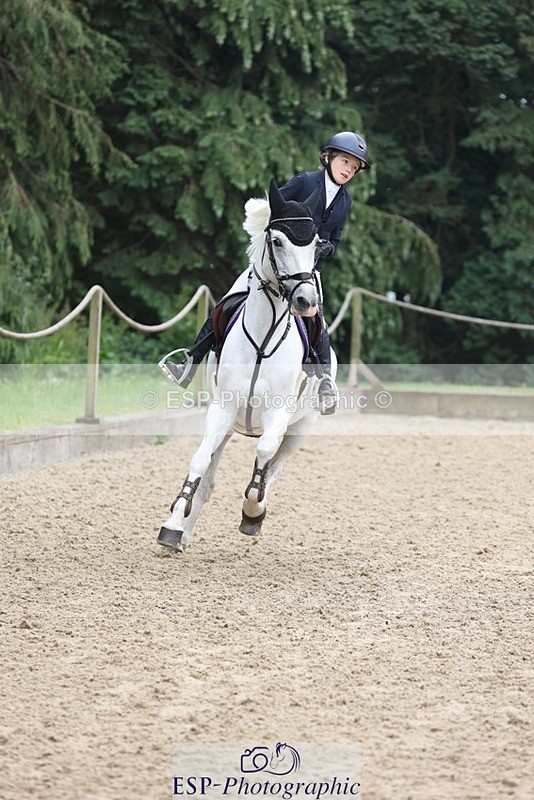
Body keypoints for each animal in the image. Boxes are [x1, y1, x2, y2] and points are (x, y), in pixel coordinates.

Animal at [157, 178, 337, 553]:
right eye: (277, 241)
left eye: (317, 246)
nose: (306, 302)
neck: (263, 337)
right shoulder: (222, 410)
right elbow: (199, 461)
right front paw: (172, 525)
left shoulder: (279, 414)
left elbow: (265, 453)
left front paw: (252, 513)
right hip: (230, 425)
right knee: (211, 480)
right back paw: (183, 533)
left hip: (302, 427)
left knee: (273, 467)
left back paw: (256, 506)